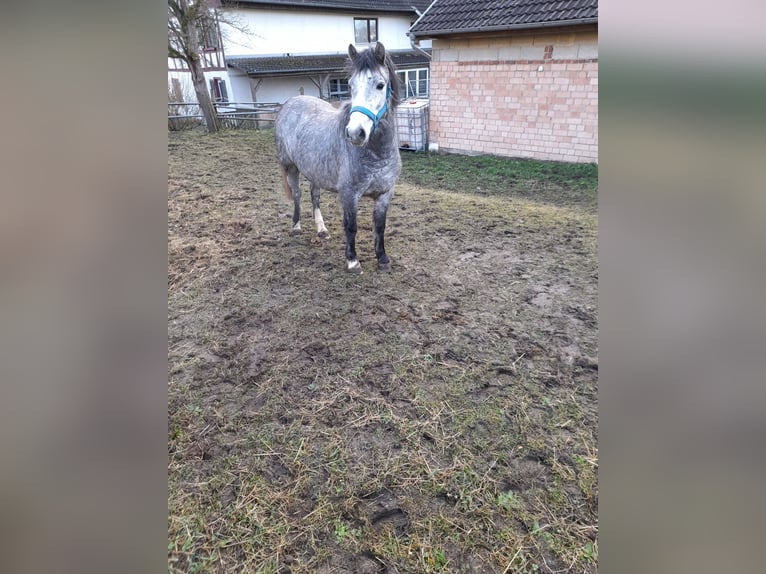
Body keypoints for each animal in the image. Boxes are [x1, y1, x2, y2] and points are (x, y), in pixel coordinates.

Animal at [275, 42, 402, 274]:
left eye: (380, 85)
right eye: (350, 85)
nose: (354, 133)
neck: (376, 154)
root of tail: (290, 103)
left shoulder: (385, 193)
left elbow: (379, 226)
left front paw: (382, 259)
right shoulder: (349, 194)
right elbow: (350, 226)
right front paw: (353, 261)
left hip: (314, 170)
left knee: (314, 196)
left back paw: (322, 230)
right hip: (291, 167)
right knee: (297, 195)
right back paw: (296, 227)